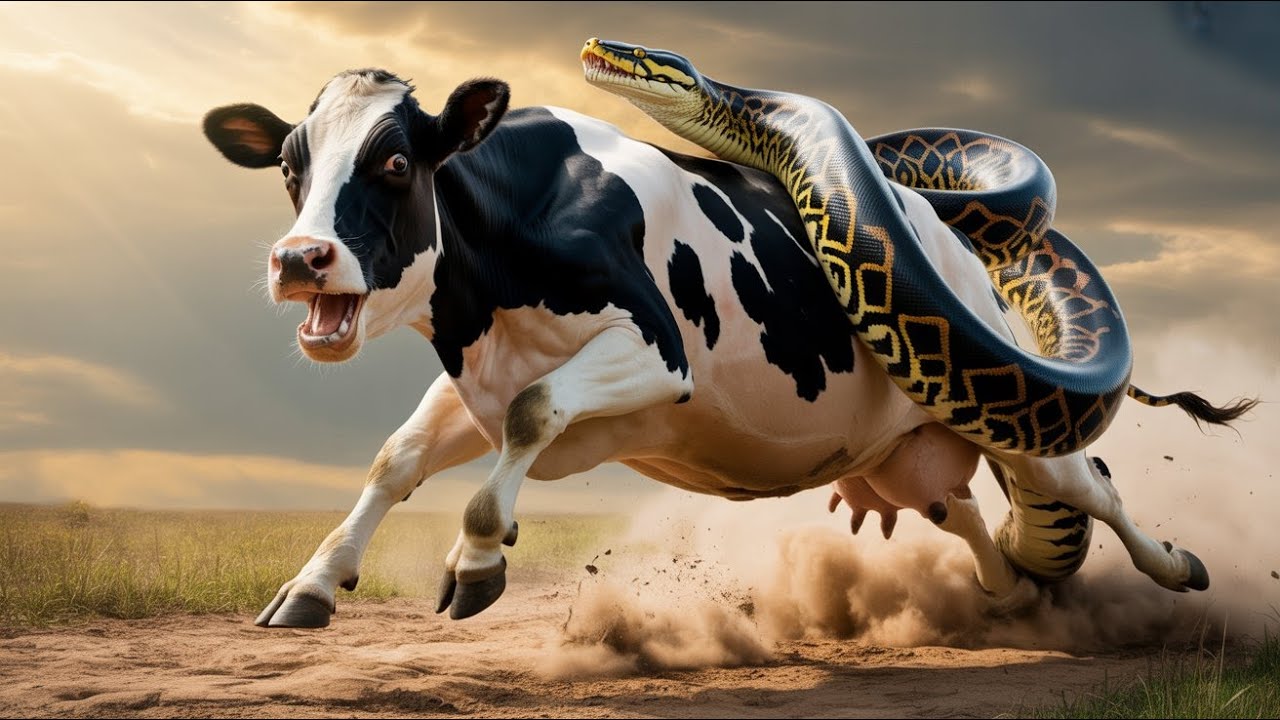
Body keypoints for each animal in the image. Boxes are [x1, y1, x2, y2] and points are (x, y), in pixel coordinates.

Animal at [202, 69, 1214, 628]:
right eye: (290, 166)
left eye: (396, 162)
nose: (298, 259)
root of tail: (947, 235)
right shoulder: (477, 376)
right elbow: (397, 457)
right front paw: (314, 583)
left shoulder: (653, 353)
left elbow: (532, 417)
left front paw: (477, 560)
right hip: (903, 455)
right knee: (958, 511)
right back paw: (1004, 595)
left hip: (1009, 420)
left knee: (1093, 485)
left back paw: (1176, 566)